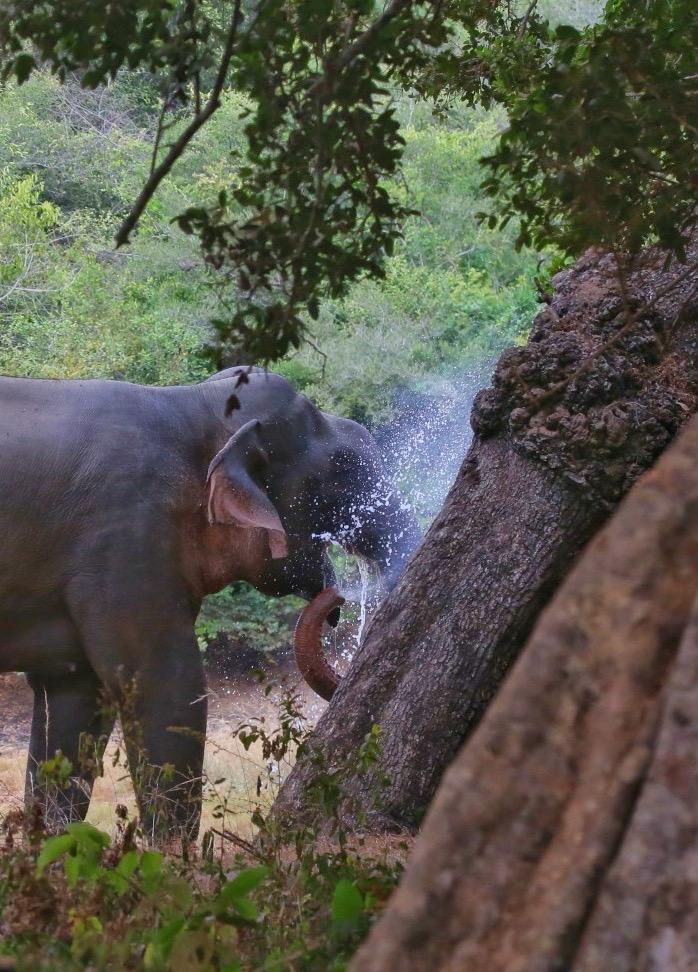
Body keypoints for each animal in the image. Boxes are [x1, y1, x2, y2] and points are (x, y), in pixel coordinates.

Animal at [0, 366, 420, 841]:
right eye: (342, 466)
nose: (339, 599)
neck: (191, 402)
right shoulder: (125, 546)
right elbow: (168, 691)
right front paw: (174, 860)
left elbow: (73, 701)